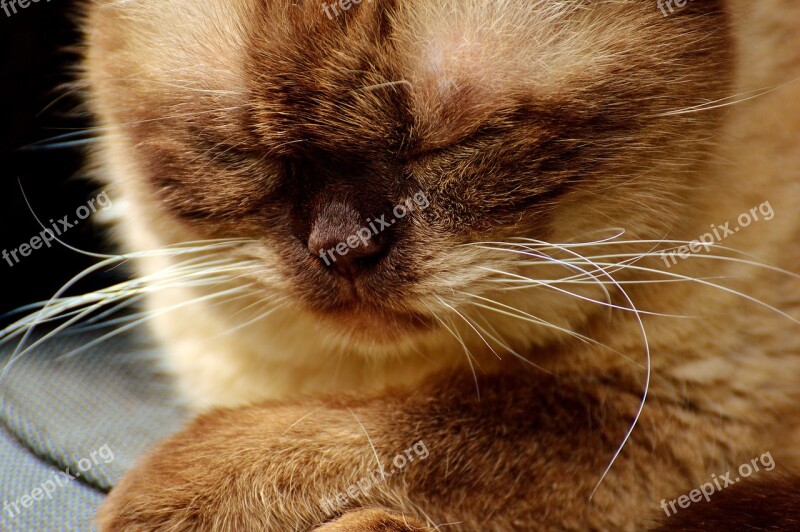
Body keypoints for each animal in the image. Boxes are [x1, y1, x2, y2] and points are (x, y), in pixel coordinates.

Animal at [73, 0, 800, 528]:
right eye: (241, 151)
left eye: (460, 143)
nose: (346, 247)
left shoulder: (686, 413)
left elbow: (420, 426)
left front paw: (155, 499)